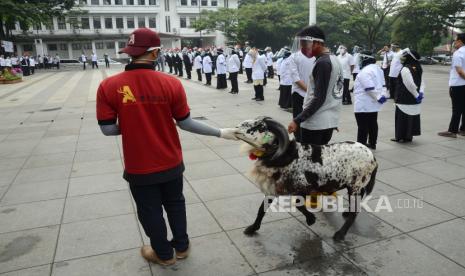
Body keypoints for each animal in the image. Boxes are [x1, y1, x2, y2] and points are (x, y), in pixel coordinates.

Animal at [236, 116, 376, 239]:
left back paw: (340, 235)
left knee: (355, 211)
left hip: (355, 185)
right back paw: (346, 214)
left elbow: (299, 204)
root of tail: (373, 158)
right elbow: (262, 208)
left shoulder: (304, 186)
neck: (288, 155)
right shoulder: (274, 187)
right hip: (356, 186)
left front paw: (311, 219)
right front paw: (252, 228)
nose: (237, 127)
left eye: (261, 126)